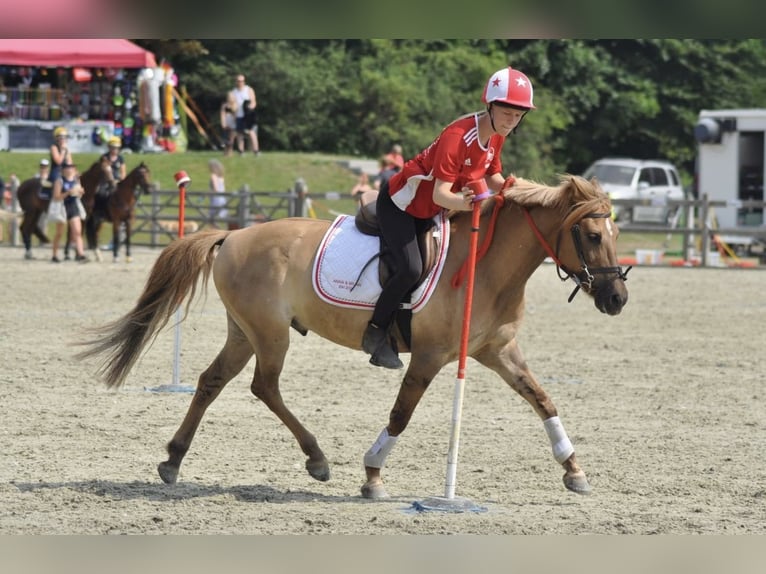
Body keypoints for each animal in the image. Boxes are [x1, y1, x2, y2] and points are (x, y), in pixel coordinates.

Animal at [78, 174, 632, 500]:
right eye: (590, 235)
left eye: (615, 235)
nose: (616, 298)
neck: (487, 266)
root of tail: (234, 233)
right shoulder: (430, 356)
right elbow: (401, 414)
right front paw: (372, 475)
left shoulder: (498, 352)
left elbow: (543, 399)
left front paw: (574, 469)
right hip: (269, 333)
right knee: (264, 386)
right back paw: (317, 459)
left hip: (244, 331)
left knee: (212, 381)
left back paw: (173, 460)